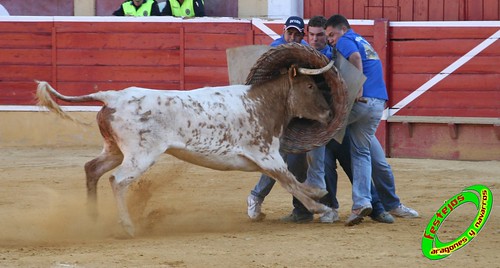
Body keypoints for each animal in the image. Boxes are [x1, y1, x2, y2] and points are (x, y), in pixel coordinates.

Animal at [37, 61, 334, 236]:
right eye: (310, 85)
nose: (329, 113)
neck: (262, 103)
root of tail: (112, 96)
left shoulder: (267, 158)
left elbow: (291, 180)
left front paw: (318, 193)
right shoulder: (266, 154)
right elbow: (289, 181)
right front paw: (321, 206)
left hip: (114, 150)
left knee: (92, 169)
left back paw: (92, 218)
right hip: (140, 155)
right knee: (117, 180)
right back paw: (128, 226)